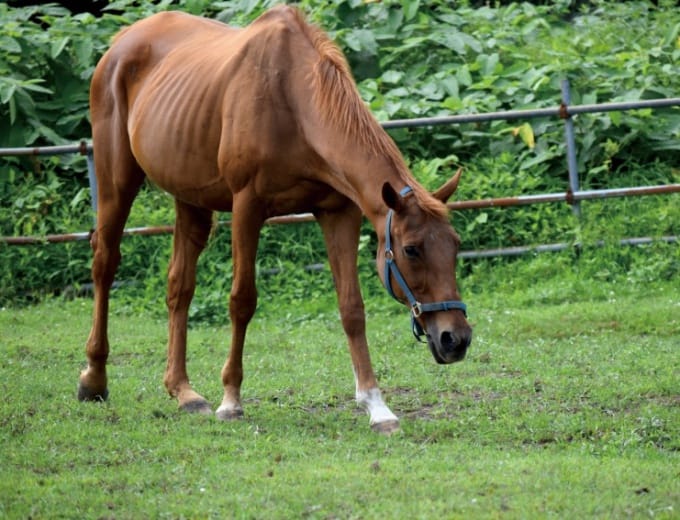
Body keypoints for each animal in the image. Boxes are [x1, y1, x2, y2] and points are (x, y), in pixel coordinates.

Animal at [79, 5, 470, 434]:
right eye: (411, 250)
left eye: (456, 246)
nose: (456, 339)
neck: (293, 102)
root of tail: (122, 42)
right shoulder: (247, 207)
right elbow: (242, 300)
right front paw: (231, 400)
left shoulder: (338, 212)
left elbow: (352, 307)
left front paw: (376, 406)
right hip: (117, 182)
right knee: (104, 264)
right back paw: (94, 378)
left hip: (190, 199)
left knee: (179, 286)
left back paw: (183, 392)